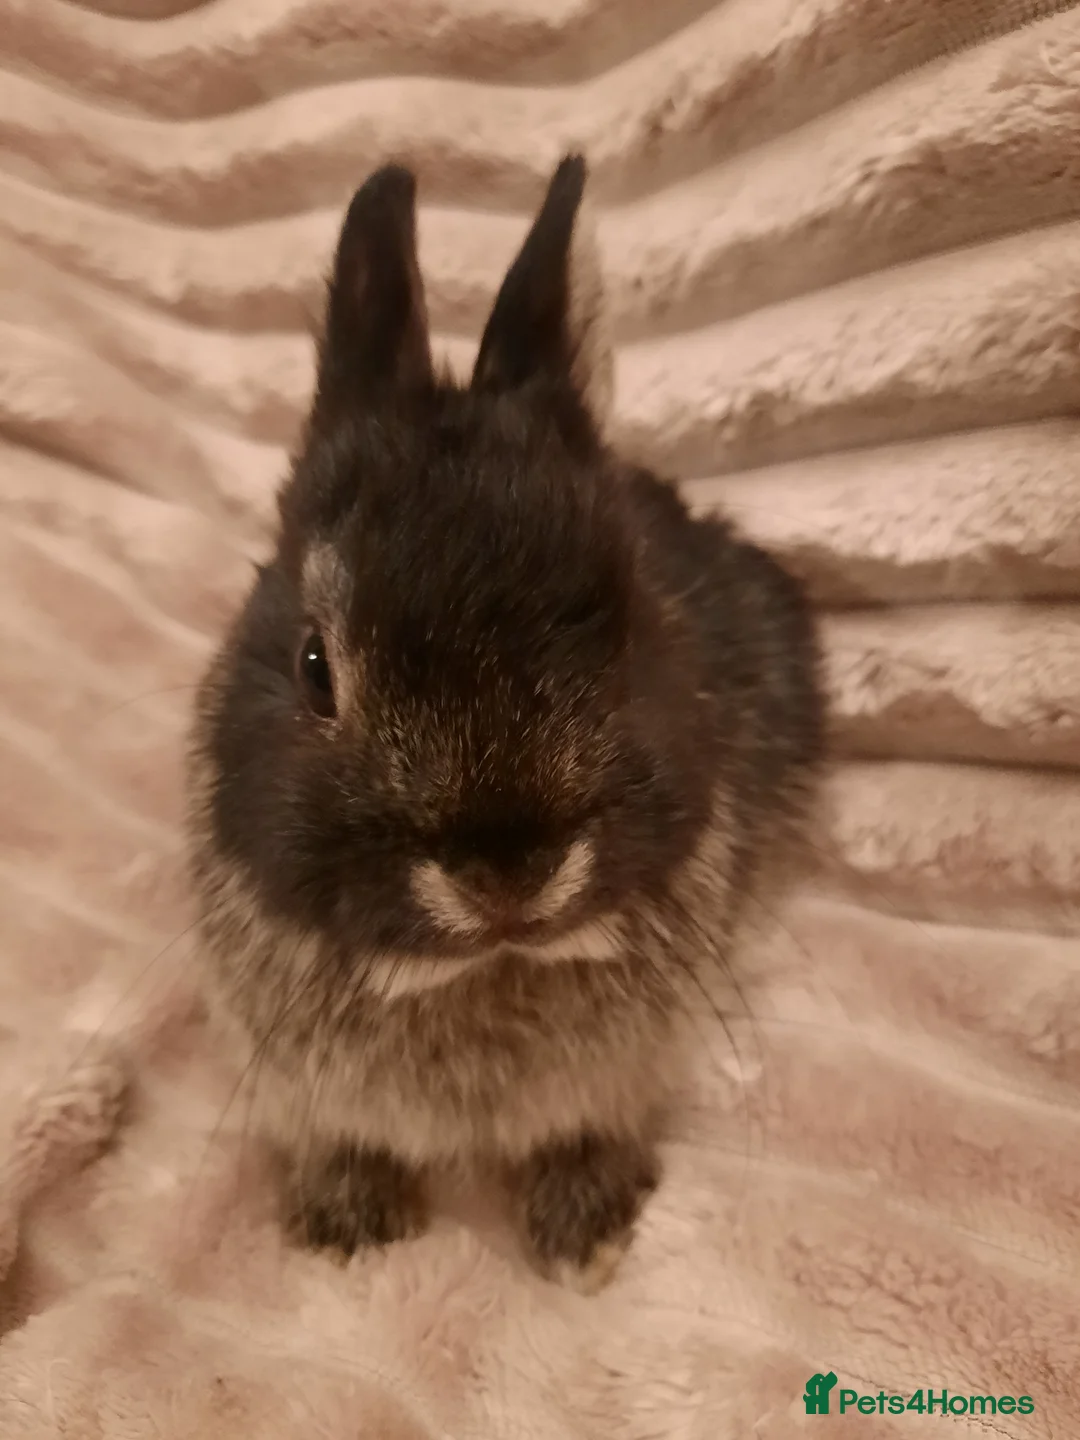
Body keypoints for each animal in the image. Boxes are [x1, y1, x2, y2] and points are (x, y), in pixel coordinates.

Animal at [185, 154, 824, 1293]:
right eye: (315, 667)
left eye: (629, 626)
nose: (507, 873)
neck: (486, 972)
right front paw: (348, 1226)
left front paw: (587, 1234)